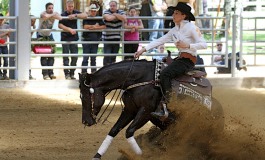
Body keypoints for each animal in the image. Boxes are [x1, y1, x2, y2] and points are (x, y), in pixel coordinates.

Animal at [78, 59, 223, 159]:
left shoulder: (146, 112)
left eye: (85, 95)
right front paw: (96, 156)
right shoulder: (130, 110)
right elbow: (113, 130)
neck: (139, 79)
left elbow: (129, 132)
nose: (85, 121)